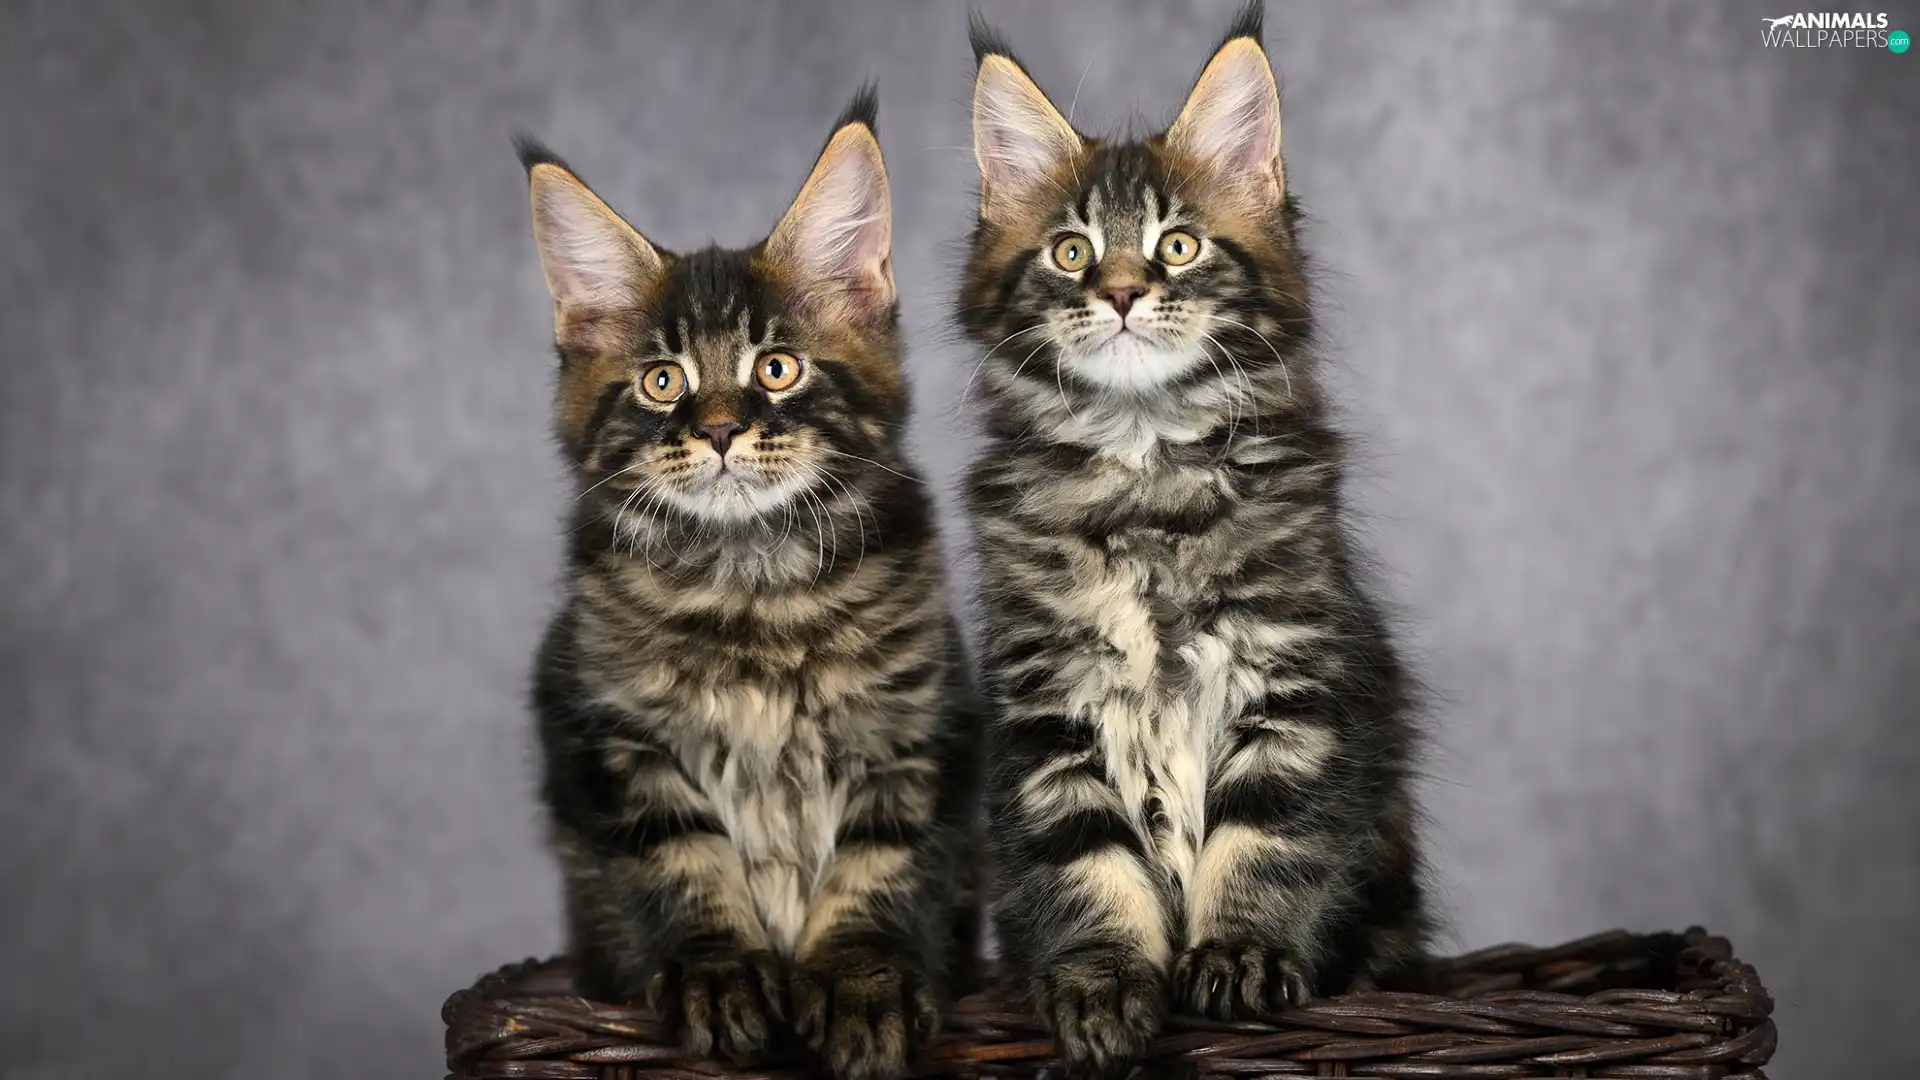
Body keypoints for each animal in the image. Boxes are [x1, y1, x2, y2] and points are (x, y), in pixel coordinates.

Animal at [518, 92, 983, 1076]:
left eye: (777, 368)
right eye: (663, 382)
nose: (724, 429)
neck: (751, 583)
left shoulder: (917, 732)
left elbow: (877, 866)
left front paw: (860, 988)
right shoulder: (611, 737)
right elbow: (683, 864)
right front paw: (720, 978)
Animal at [960, 6, 1428, 1068]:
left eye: (1176, 247)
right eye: (1071, 253)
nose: (1123, 292)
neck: (1146, 473)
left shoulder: (1298, 681)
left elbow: (1264, 841)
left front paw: (1239, 960)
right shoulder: (1043, 710)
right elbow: (1086, 864)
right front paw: (1100, 989)